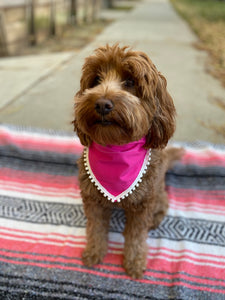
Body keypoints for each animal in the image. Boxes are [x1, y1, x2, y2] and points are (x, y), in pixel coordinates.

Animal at [73, 44, 182, 278]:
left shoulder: (143, 203)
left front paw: (134, 261)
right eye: (96, 80)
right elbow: (95, 228)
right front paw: (94, 251)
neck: (117, 148)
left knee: (161, 208)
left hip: (157, 194)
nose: (102, 104)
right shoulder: (93, 199)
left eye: (130, 82)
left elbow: (136, 235)